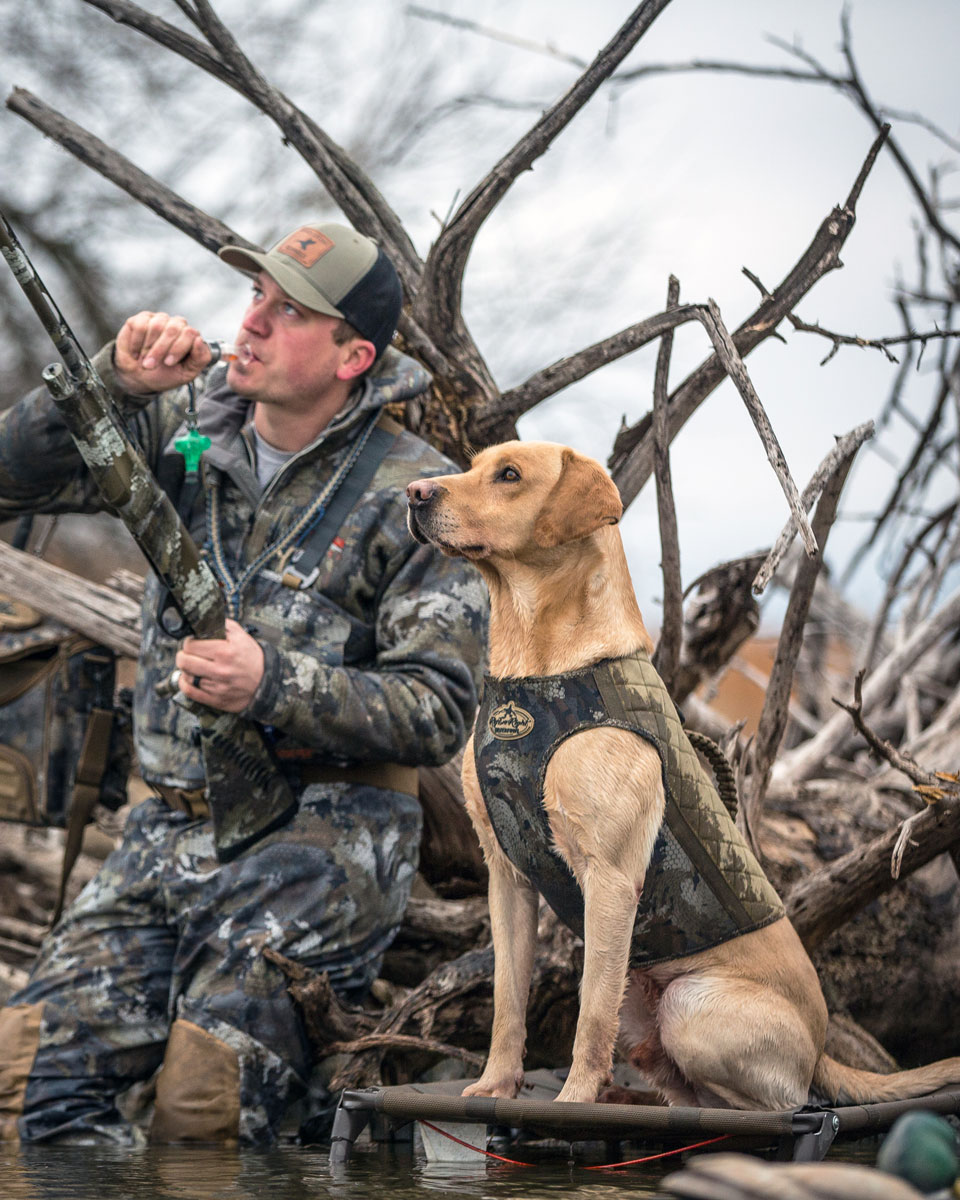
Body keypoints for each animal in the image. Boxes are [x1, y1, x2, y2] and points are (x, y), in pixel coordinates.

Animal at [405, 446, 960, 1108]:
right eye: (473, 466)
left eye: (509, 475)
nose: (413, 493)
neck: (537, 673)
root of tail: (823, 1046)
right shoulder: (508, 876)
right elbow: (507, 1002)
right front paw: (495, 1086)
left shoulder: (612, 881)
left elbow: (590, 1017)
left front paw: (573, 1100)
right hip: (645, 1010)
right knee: (688, 1093)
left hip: (690, 1006)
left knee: (777, 1106)